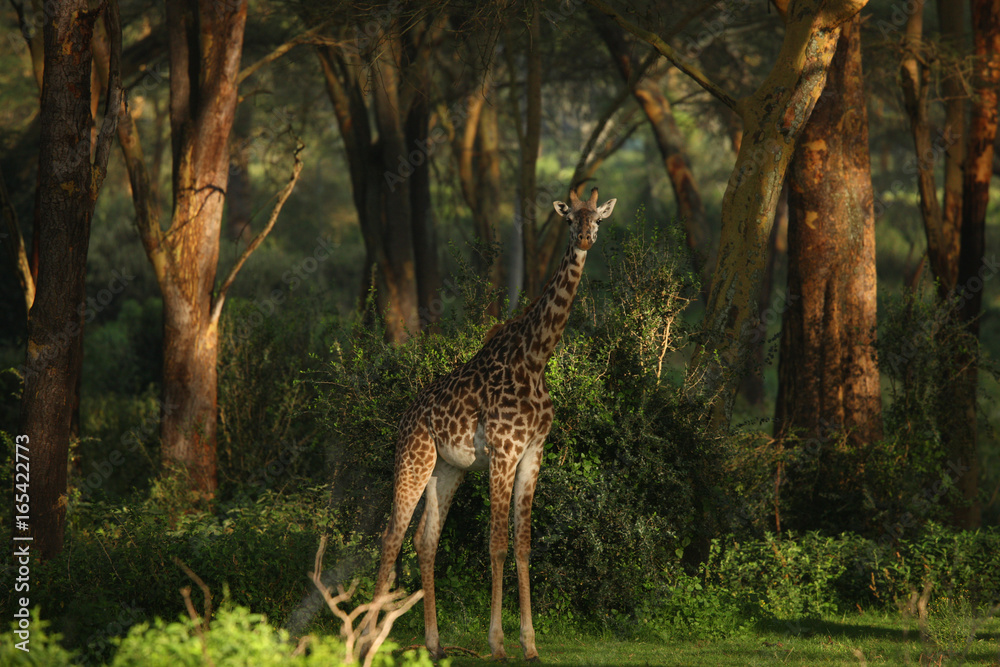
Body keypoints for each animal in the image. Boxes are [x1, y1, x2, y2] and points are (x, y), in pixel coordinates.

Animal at [363, 187, 616, 661]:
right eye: (569, 217)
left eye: (597, 219)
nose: (585, 239)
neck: (535, 359)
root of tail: (406, 416)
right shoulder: (504, 451)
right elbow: (497, 544)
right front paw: (497, 644)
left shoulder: (533, 453)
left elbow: (523, 543)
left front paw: (530, 644)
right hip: (413, 459)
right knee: (390, 538)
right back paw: (367, 637)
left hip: (447, 469)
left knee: (425, 540)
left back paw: (434, 644)